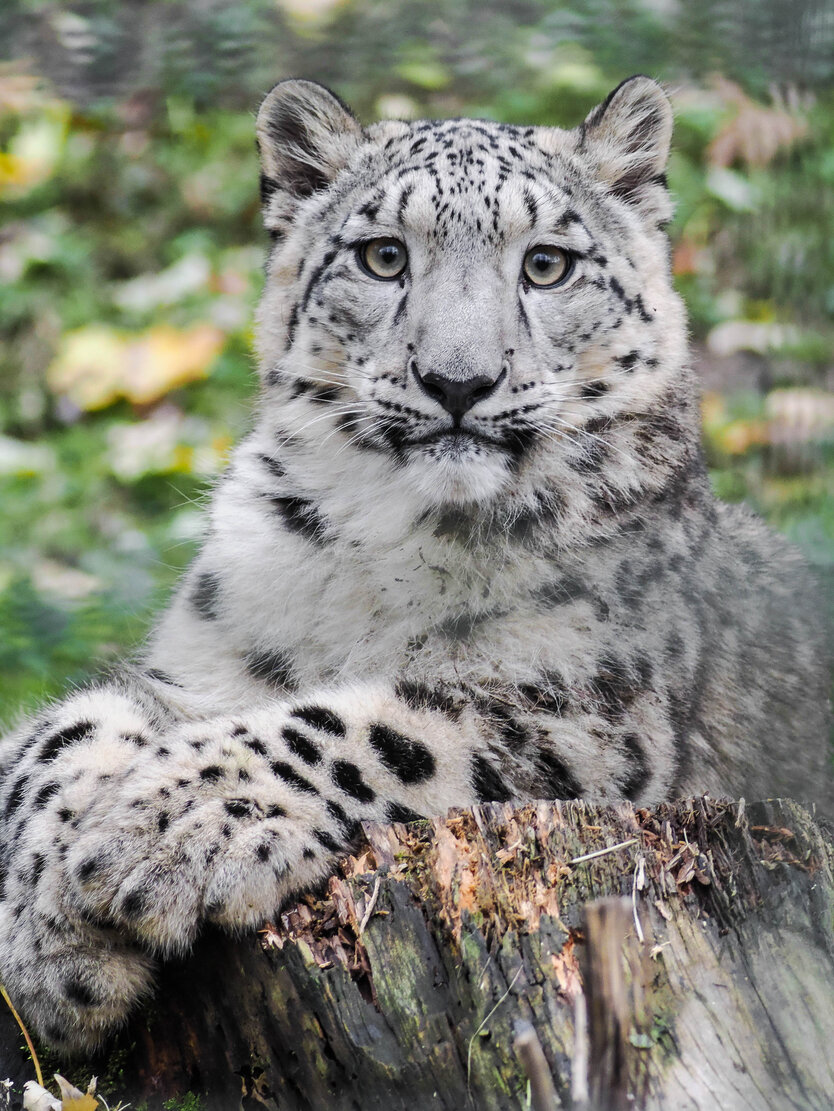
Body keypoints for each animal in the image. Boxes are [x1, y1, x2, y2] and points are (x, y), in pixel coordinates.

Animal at [0, 76, 830, 1048]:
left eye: (547, 265)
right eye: (384, 256)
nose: (457, 381)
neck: (387, 549)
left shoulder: (584, 712)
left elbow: (370, 724)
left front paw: (164, 831)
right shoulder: (202, 665)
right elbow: (56, 731)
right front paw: (49, 941)